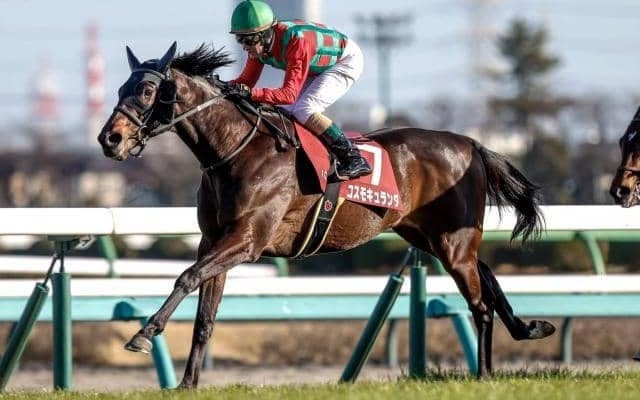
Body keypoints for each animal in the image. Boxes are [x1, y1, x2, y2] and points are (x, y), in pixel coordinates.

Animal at [98, 42, 555, 388]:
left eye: (147, 90)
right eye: (121, 86)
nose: (109, 139)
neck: (235, 150)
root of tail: (471, 144)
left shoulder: (248, 239)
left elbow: (186, 277)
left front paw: (143, 334)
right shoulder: (215, 240)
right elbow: (205, 316)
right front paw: (187, 383)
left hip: (452, 242)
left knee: (479, 304)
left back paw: (485, 374)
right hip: (429, 236)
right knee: (488, 279)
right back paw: (523, 332)